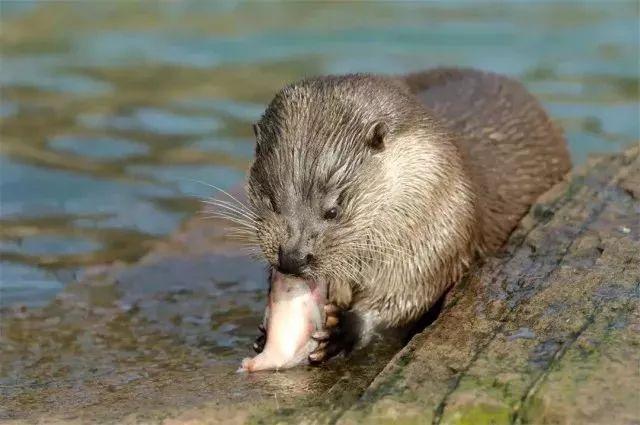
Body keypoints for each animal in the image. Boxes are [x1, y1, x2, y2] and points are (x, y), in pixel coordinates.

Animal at [244, 68, 568, 360]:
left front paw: (344, 329)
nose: (292, 258)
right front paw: (264, 332)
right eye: (271, 201)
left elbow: (408, 294)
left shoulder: (439, 229)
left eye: (333, 210)